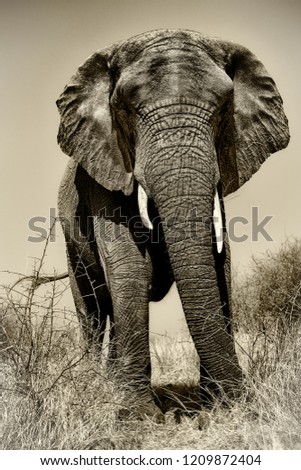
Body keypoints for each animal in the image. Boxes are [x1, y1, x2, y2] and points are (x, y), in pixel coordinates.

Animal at [56, 28, 288, 418]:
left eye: (223, 108)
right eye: (128, 109)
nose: (244, 399)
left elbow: (218, 263)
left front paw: (216, 404)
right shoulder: (103, 172)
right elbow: (129, 265)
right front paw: (137, 415)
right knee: (92, 308)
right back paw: (93, 384)